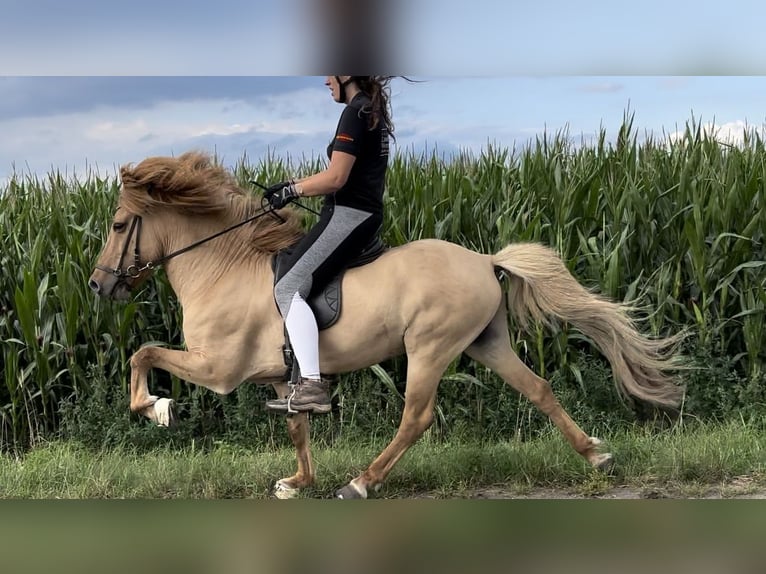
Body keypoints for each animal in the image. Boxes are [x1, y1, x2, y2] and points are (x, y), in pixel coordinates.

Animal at [88, 150, 684, 499]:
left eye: (118, 225)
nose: (97, 285)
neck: (223, 267)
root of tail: (483, 259)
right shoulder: (281, 378)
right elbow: (297, 427)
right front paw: (297, 482)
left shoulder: (218, 369)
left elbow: (143, 353)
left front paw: (157, 409)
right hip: (486, 343)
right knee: (538, 388)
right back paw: (597, 455)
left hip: (430, 348)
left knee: (416, 417)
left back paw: (362, 482)